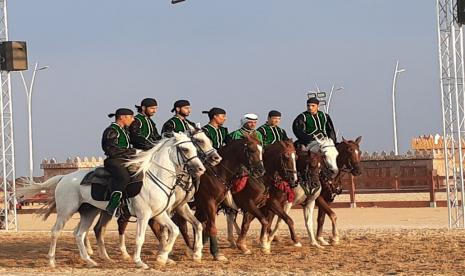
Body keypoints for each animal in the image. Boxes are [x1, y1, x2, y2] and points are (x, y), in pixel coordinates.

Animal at [18, 133, 203, 268]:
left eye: (195, 147)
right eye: (185, 149)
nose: (200, 169)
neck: (155, 178)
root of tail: (64, 177)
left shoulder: (159, 214)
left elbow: (175, 230)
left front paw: (163, 258)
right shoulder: (143, 216)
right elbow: (140, 238)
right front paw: (139, 262)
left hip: (89, 212)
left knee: (79, 234)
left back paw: (89, 260)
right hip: (66, 212)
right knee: (56, 232)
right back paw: (51, 261)